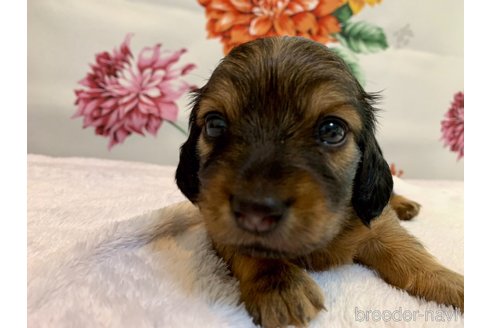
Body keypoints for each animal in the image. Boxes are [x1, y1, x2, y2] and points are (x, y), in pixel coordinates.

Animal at [175, 36, 464, 328]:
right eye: (214, 125)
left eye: (332, 130)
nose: (255, 213)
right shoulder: (215, 225)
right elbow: (248, 247)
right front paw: (280, 284)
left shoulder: (380, 229)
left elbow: (414, 259)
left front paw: (454, 286)